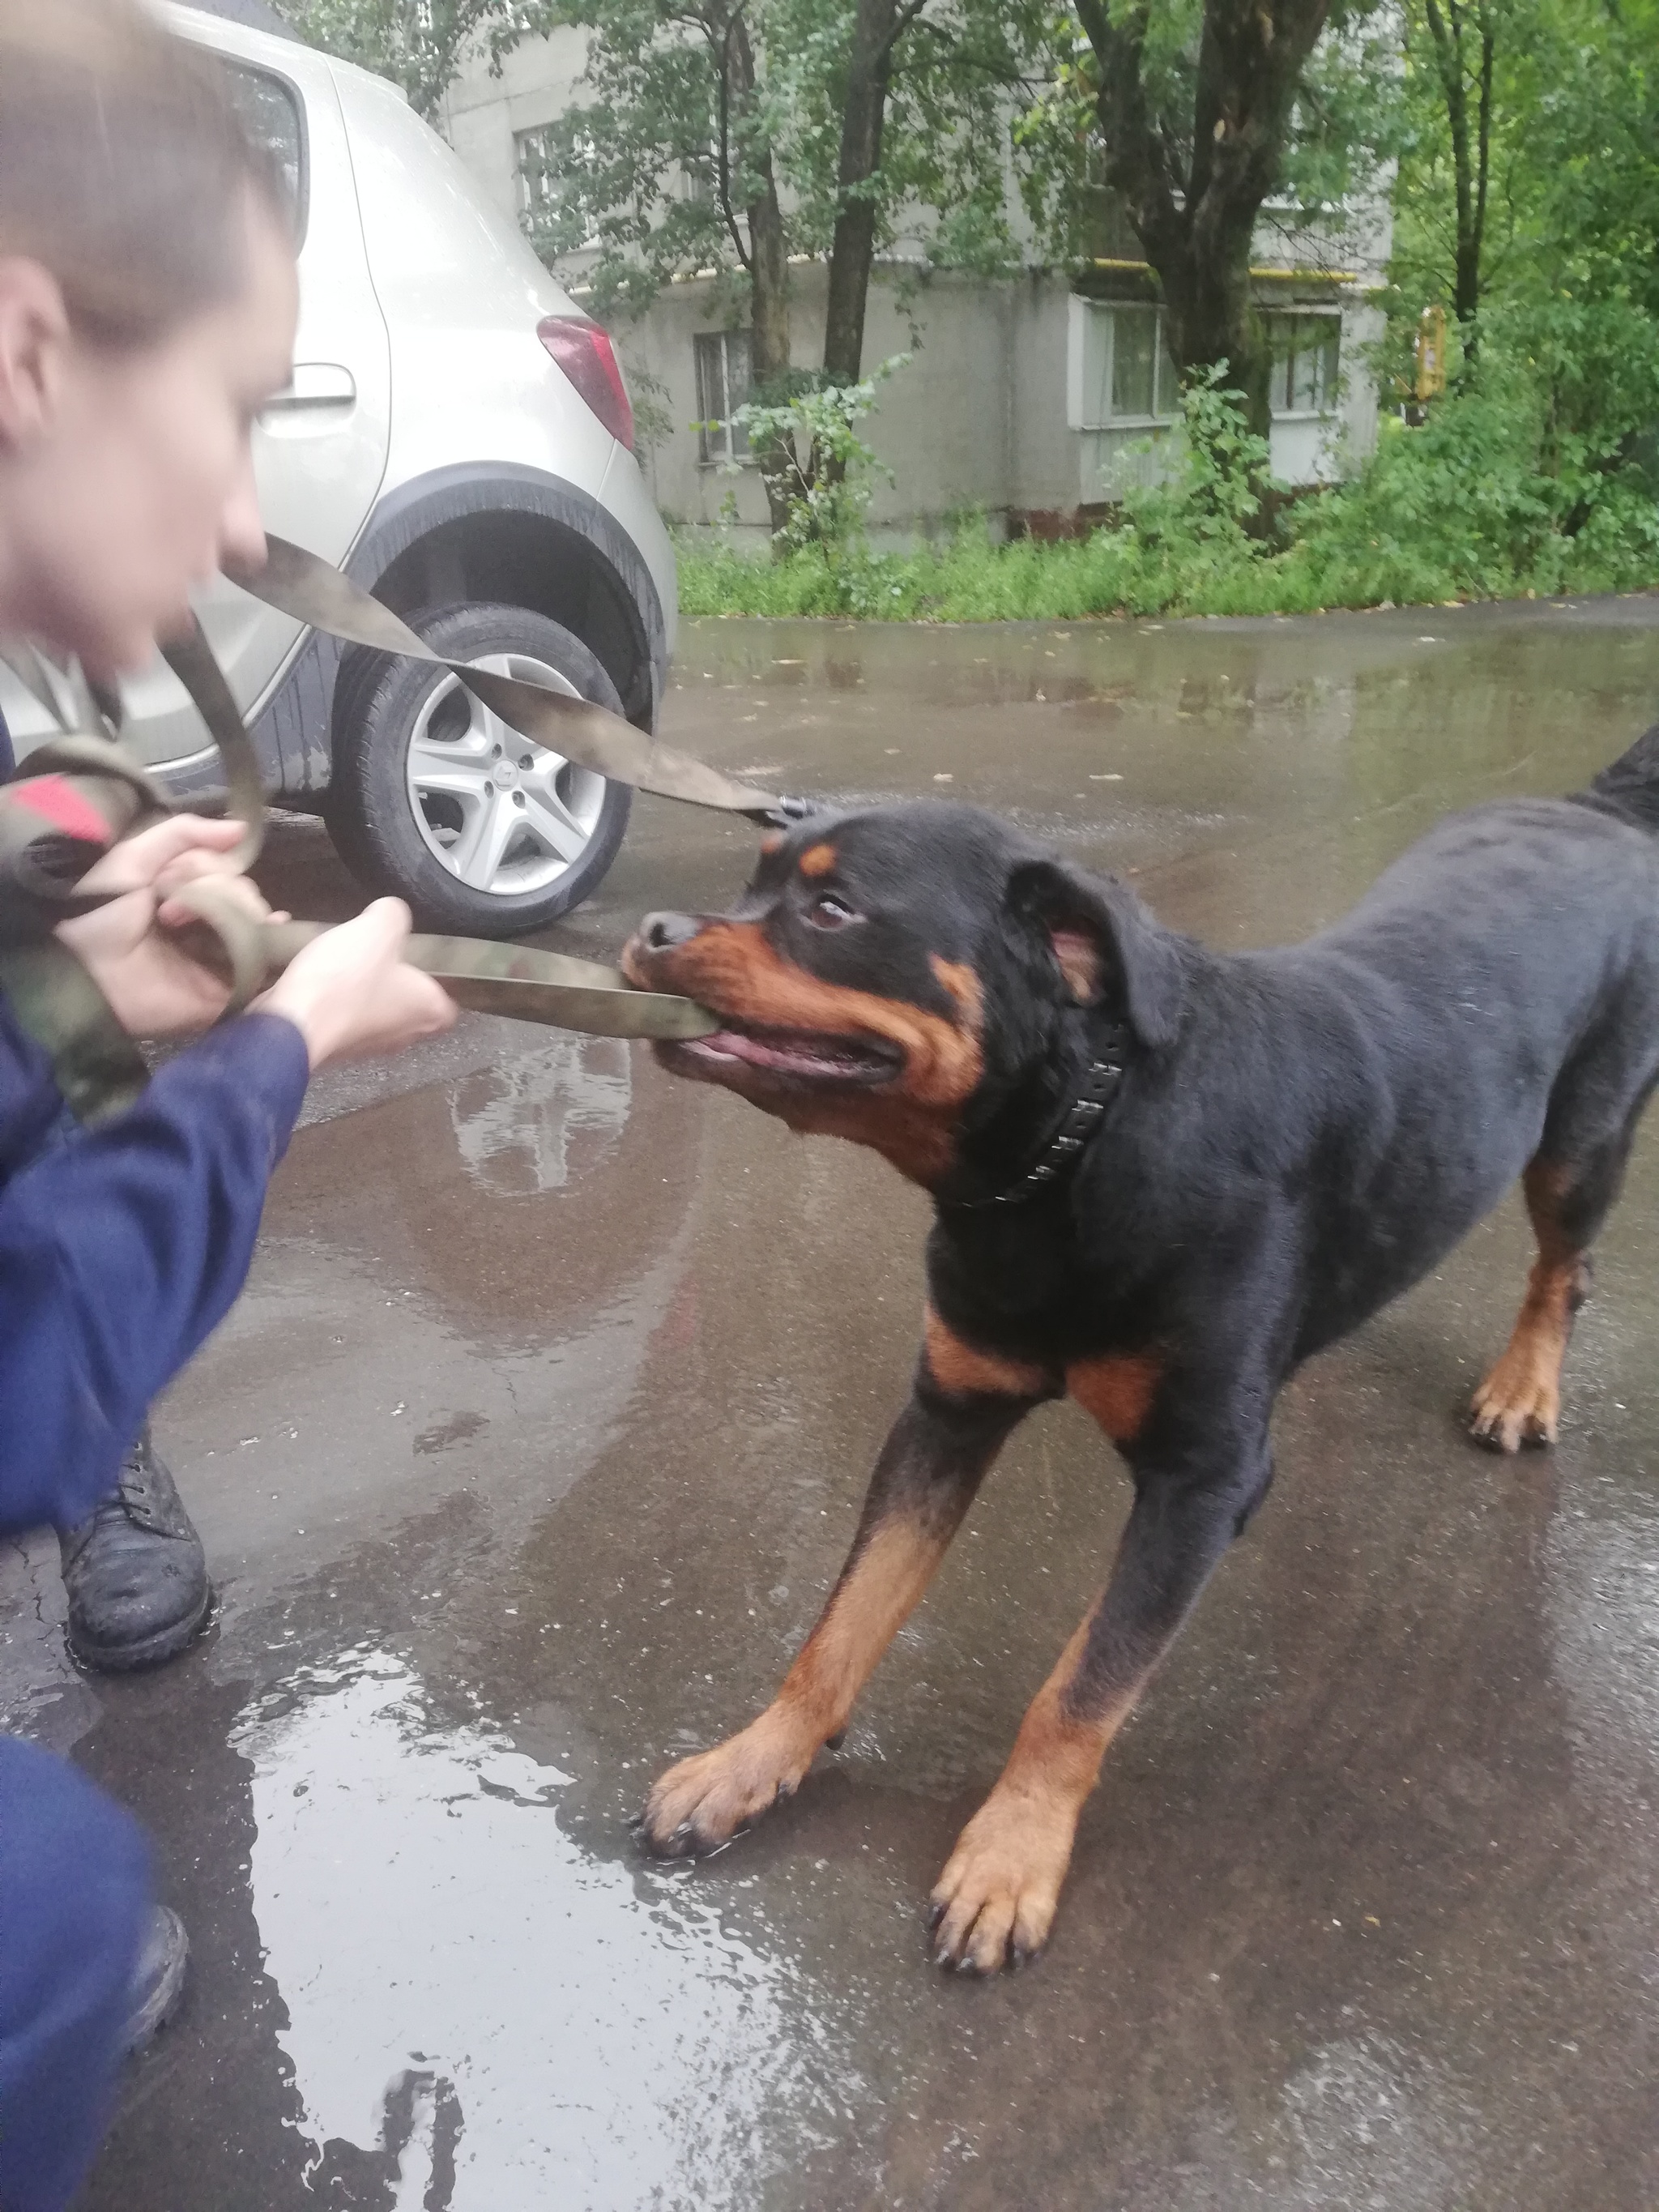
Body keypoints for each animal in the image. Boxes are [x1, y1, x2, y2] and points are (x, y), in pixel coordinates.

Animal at [619, 720, 1659, 1973]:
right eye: (748, 887)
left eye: (833, 911)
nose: (653, 929)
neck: (1075, 1147)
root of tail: (1597, 810)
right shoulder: (945, 1411)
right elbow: (841, 1622)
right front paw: (753, 1759)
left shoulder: (1198, 1482)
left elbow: (1079, 1690)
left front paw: (1011, 1855)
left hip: (1582, 1140)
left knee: (1565, 1267)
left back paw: (1523, 1387)